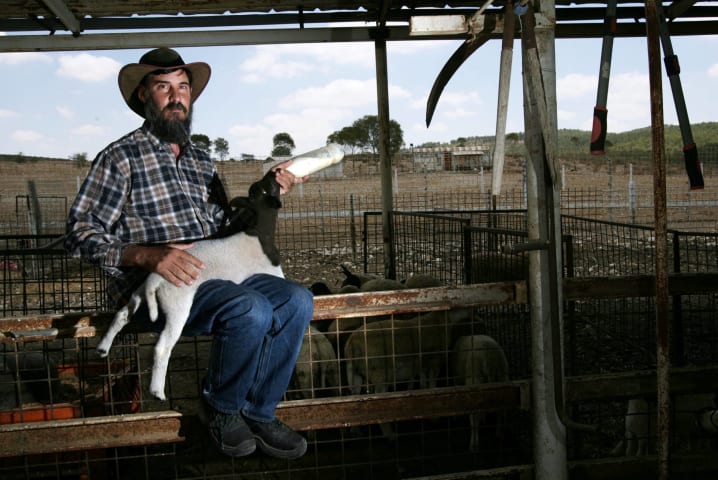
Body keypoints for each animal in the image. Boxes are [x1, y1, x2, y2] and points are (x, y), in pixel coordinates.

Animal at [95, 171, 284, 400]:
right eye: (267, 187)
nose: (274, 172)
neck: (258, 231)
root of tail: (155, 280)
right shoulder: (274, 269)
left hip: (138, 294)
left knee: (122, 314)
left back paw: (103, 348)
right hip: (178, 306)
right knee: (162, 347)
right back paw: (157, 391)